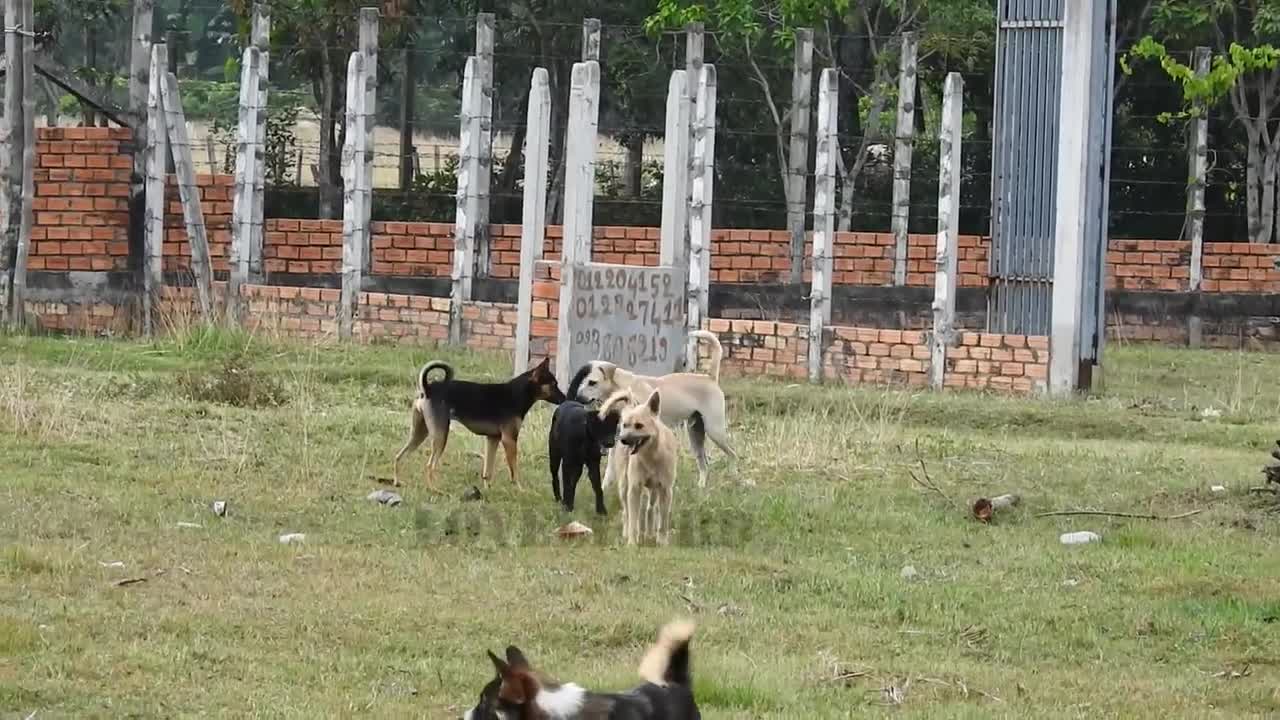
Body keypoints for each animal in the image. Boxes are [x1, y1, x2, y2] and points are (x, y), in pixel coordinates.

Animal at [389, 356, 565, 489]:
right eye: (553, 384)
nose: (565, 398)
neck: (518, 393)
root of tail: (428, 389)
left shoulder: (493, 439)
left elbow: (488, 471)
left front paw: (487, 490)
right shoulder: (509, 440)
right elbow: (514, 470)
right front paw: (520, 489)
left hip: (420, 432)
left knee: (399, 456)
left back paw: (397, 481)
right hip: (440, 435)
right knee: (430, 465)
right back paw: (435, 490)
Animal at [599, 386, 680, 543]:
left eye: (639, 426)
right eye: (625, 425)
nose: (622, 440)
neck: (652, 456)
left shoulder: (666, 490)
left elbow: (663, 522)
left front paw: (662, 542)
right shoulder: (634, 488)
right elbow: (633, 519)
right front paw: (632, 542)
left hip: (654, 491)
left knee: (650, 509)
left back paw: (649, 533)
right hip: (624, 486)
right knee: (627, 513)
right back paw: (628, 533)